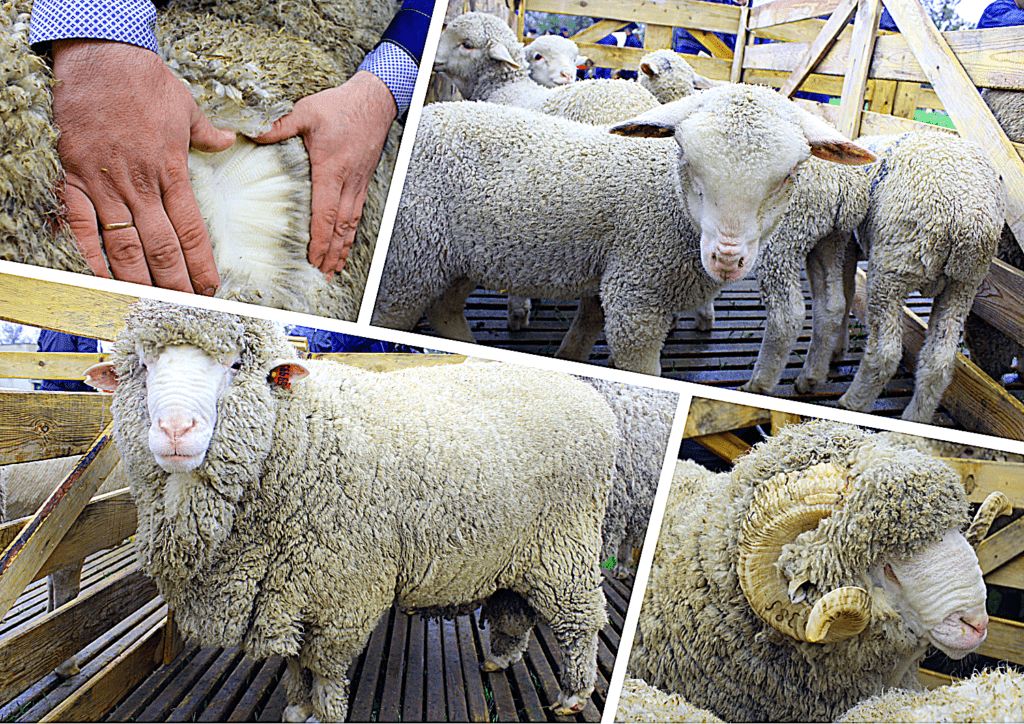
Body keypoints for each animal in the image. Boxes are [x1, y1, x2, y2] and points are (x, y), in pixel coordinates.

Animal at [82, 299, 618, 721]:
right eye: (141, 367)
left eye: (236, 365)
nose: (175, 430)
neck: (299, 436)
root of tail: (589, 396)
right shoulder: (288, 590)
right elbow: (295, 661)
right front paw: (297, 707)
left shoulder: (344, 591)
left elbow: (323, 666)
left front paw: (322, 711)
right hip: (519, 548)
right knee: (516, 608)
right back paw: (501, 659)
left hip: (566, 544)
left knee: (581, 620)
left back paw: (574, 693)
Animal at [373, 84, 875, 375]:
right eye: (687, 160)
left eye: (790, 174)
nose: (728, 258)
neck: (668, 201)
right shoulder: (638, 297)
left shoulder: (619, 277)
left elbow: (586, 329)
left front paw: (566, 360)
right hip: (410, 257)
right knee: (397, 314)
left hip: (456, 257)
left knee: (444, 309)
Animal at [832, 131, 1004, 423]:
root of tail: (966, 218)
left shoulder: (848, 242)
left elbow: (846, 293)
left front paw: (836, 349)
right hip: (964, 284)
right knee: (939, 361)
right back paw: (915, 418)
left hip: (893, 267)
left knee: (885, 353)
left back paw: (852, 404)